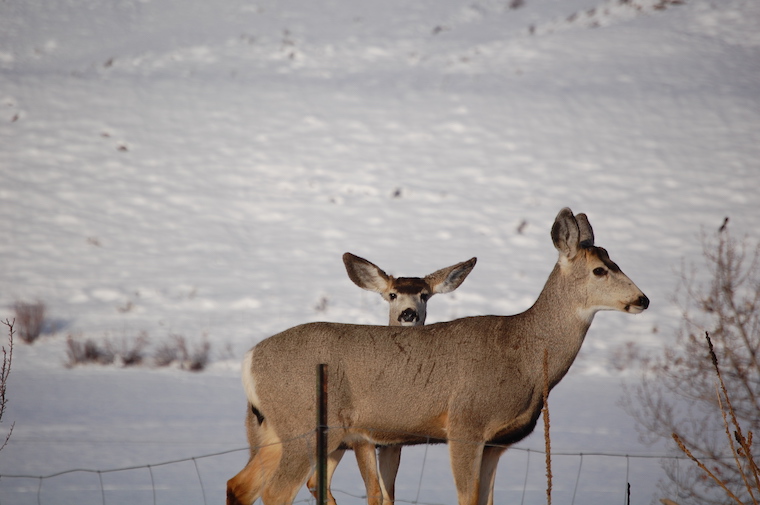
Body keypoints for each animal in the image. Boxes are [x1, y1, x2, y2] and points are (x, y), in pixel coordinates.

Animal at [303, 252, 477, 505]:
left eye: (424, 295)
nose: (408, 313)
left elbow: (389, 495)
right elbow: (374, 493)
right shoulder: (362, 437)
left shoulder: (393, 443)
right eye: (392, 295)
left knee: (315, 482)